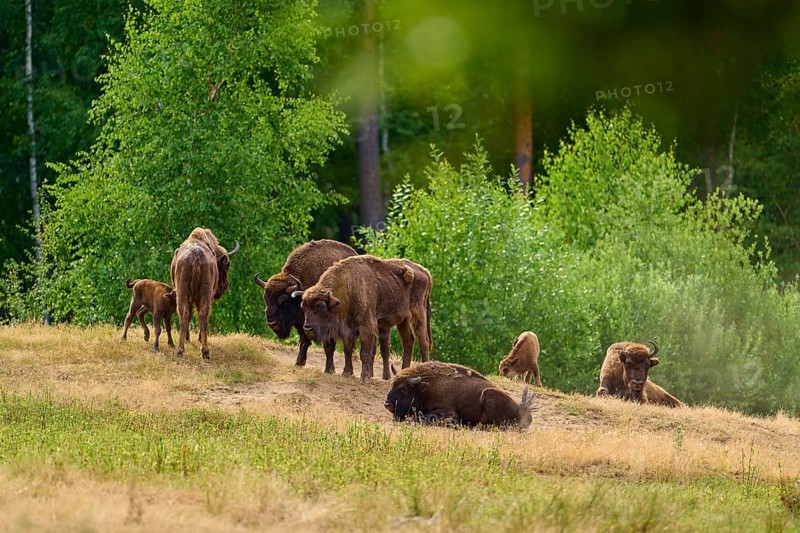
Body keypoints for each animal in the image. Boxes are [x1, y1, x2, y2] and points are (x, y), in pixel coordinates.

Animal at [170, 228, 239, 359]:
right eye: (227, 265)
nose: (226, 285)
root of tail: (196, 254)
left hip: (183, 293)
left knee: (187, 314)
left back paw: (182, 350)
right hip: (203, 294)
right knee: (201, 315)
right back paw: (203, 351)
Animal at [252, 239, 357, 372]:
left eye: (284, 300)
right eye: (265, 299)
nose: (272, 323)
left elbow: (328, 345)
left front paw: (329, 370)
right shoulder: (301, 323)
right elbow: (304, 341)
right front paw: (299, 363)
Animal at [385, 362, 535, 428]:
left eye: (403, 389)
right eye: (391, 385)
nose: (387, 404)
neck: (426, 387)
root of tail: (522, 409)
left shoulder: (448, 411)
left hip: (488, 394)